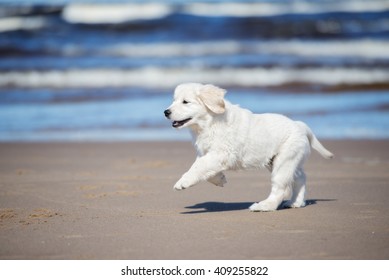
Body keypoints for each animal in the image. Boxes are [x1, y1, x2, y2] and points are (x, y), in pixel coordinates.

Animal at [162, 82, 332, 211]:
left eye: (185, 102)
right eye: (174, 100)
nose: (166, 112)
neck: (208, 123)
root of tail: (299, 125)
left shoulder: (223, 152)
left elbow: (199, 166)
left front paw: (183, 181)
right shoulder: (207, 152)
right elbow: (204, 167)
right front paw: (219, 179)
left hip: (283, 162)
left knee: (281, 188)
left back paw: (264, 206)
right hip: (281, 161)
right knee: (300, 177)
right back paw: (296, 202)